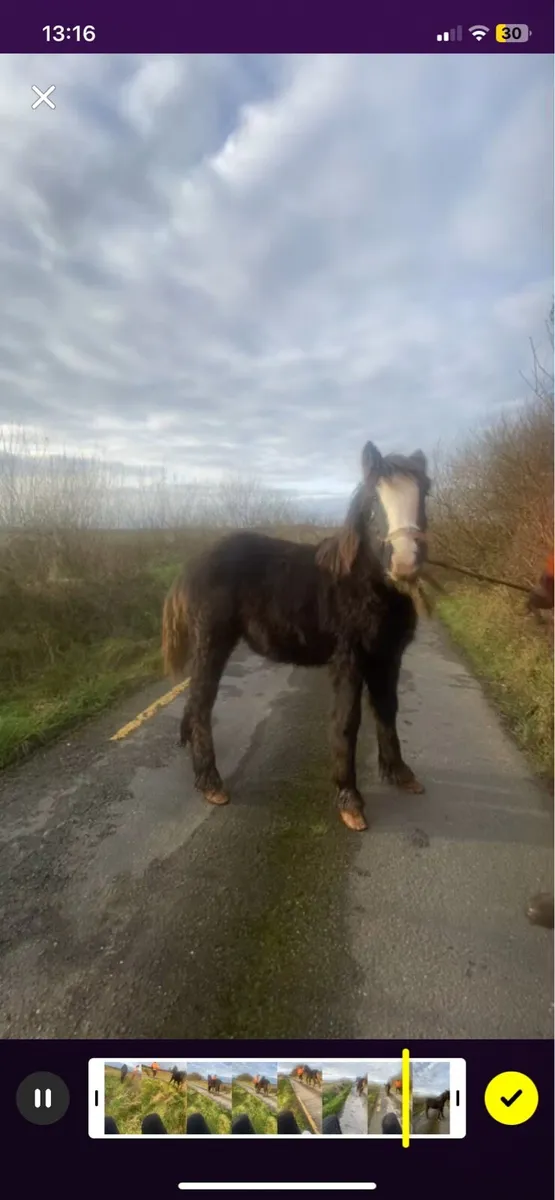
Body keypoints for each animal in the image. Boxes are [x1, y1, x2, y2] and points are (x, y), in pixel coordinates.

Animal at [162, 441, 430, 832]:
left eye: (425, 492)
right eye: (372, 501)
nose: (405, 564)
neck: (363, 584)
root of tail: (192, 565)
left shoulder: (387, 657)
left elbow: (386, 709)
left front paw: (400, 773)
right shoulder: (349, 659)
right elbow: (348, 721)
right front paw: (350, 800)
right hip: (212, 642)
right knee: (201, 703)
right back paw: (211, 782)